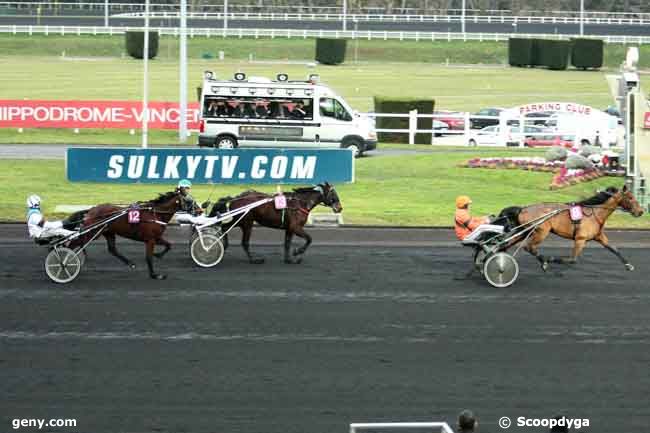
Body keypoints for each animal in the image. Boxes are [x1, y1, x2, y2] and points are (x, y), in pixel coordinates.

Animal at [208, 182, 342, 264]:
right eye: (333, 193)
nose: (340, 208)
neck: (300, 203)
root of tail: (235, 198)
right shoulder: (296, 227)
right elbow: (309, 239)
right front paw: (297, 252)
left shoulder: (289, 228)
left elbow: (287, 243)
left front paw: (289, 260)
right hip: (246, 223)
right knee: (244, 242)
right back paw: (254, 259)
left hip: (240, 221)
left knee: (224, 227)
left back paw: (224, 246)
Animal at [496, 185, 644, 270]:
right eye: (630, 197)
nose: (641, 212)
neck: (595, 214)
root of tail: (523, 208)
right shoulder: (580, 239)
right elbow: (573, 259)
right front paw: (551, 259)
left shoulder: (599, 237)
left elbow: (614, 249)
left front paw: (629, 265)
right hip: (541, 231)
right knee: (529, 247)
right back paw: (544, 262)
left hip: (525, 231)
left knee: (508, 244)